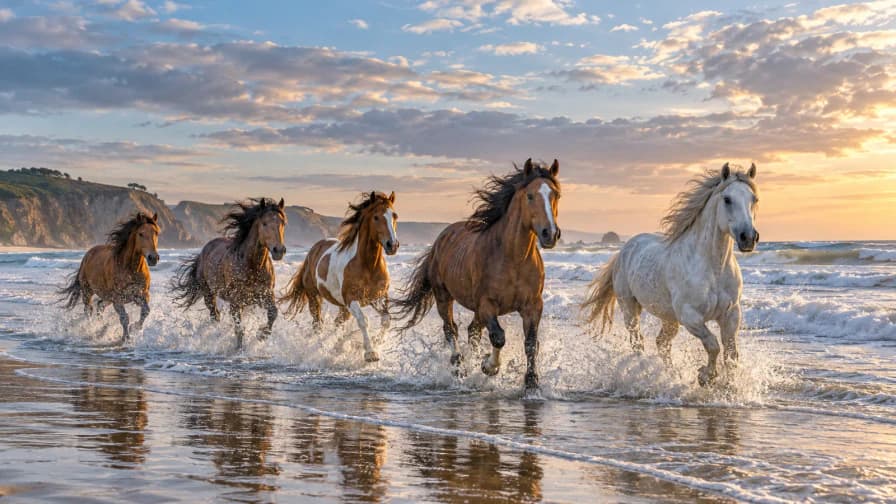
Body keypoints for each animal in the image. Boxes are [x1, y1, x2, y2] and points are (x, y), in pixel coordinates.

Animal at [59, 212, 161, 340]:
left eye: (156, 232)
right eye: (141, 234)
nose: (153, 258)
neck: (130, 269)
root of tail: (87, 255)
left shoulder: (142, 295)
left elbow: (146, 311)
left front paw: (135, 327)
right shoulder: (118, 299)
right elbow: (124, 318)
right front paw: (126, 338)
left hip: (107, 297)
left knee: (100, 306)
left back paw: (101, 328)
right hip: (88, 292)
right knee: (88, 310)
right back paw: (92, 329)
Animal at [171, 198, 287, 349]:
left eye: (283, 223)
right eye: (264, 223)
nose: (279, 250)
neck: (252, 266)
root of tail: (204, 250)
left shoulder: (265, 295)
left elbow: (273, 313)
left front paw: (261, 335)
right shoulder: (236, 302)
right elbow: (239, 329)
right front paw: (239, 349)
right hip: (208, 293)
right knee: (215, 315)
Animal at [280, 191, 399, 363]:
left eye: (395, 216)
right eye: (376, 217)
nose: (392, 245)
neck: (368, 266)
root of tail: (313, 250)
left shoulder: (379, 298)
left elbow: (386, 321)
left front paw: (374, 343)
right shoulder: (351, 299)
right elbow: (364, 321)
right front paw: (370, 352)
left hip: (343, 306)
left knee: (337, 323)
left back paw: (336, 347)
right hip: (315, 297)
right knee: (318, 324)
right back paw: (318, 349)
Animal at [393, 159, 561, 391]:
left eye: (556, 195)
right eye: (530, 196)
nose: (550, 234)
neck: (513, 259)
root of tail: (440, 240)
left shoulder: (533, 306)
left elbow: (531, 343)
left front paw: (532, 382)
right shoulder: (487, 304)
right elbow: (498, 337)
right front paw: (489, 367)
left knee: (473, 331)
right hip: (444, 297)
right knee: (451, 329)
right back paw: (460, 368)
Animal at [582, 163, 759, 386]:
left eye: (754, 199)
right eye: (727, 199)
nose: (748, 238)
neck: (713, 269)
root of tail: (625, 249)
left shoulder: (731, 315)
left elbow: (731, 355)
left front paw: (728, 386)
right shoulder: (690, 316)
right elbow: (713, 345)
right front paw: (705, 376)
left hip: (669, 318)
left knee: (661, 344)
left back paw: (671, 376)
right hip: (630, 308)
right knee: (638, 342)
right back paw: (645, 374)